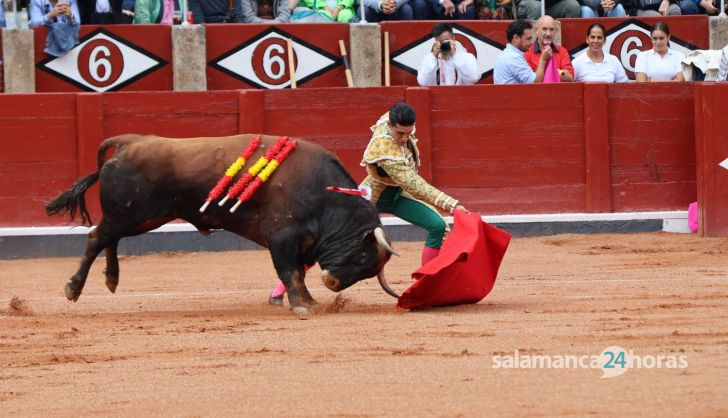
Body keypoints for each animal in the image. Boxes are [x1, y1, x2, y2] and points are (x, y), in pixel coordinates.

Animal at [45, 134, 398, 314]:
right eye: (362, 255)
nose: (333, 283)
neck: (324, 196)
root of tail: (128, 142)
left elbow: (296, 273)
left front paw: (309, 301)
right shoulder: (282, 236)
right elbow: (291, 272)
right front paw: (303, 307)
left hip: (143, 217)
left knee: (109, 239)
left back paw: (111, 279)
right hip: (129, 214)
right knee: (96, 237)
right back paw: (73, 288)